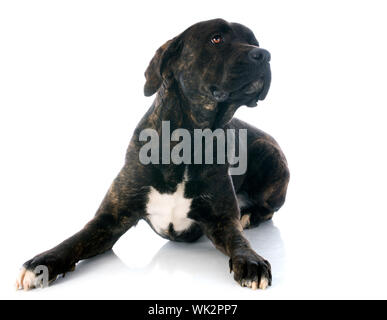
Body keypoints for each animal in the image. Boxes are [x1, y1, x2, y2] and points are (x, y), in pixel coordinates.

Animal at [17, 18, 292, 292]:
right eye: (216, 38)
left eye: (254, 41)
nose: (264, 54)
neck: (187, 142)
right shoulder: (109, 219)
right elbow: (74, 240)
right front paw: (42, 263)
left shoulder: (223, 220)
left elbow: (239, 241)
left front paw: (251, 262)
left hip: (272, 157)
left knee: (267, 209)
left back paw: (249, 215)